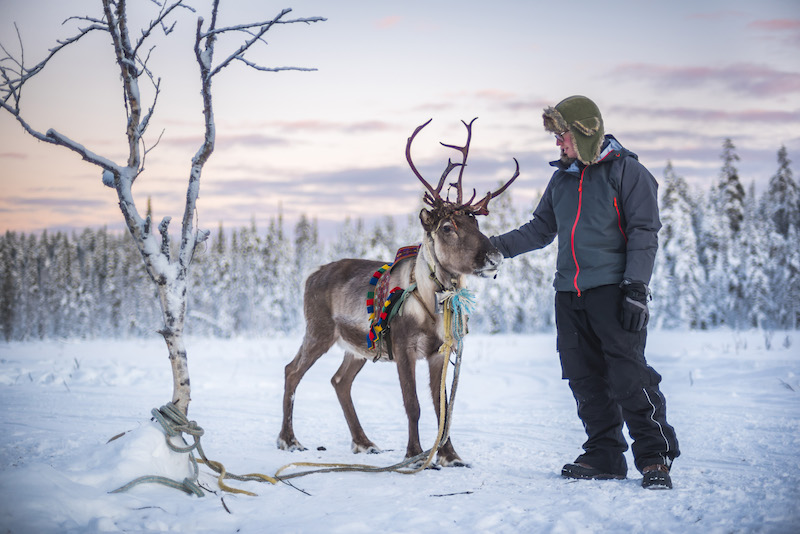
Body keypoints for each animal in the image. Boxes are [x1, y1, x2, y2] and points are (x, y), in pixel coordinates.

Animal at [277, 118, 518, 467]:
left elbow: (443, 409)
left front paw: (450, 456)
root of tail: (310, 275)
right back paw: (289, 440)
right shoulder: (404, 348)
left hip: (357, 347)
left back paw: (364, 443)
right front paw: (415, 455)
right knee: (292, 371)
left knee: (339, 381)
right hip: (319, 331)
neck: (433, 307)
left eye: (476, 223)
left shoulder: (439, 352)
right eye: (448, 227)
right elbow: (413, 405)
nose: (494, 257)